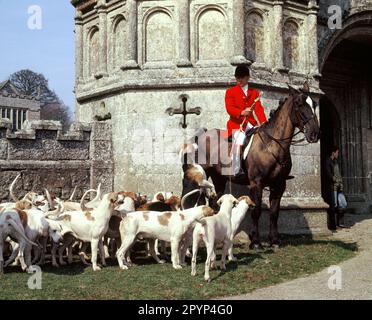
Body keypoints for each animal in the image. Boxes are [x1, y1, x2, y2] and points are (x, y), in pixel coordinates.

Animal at [180, 82, 320, 248]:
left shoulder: (279, 184)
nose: (315, 134)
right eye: (299, 104)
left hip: (219, 178)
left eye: (315, 104)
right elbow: (256, 210)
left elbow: (274, 213)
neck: (272, 144)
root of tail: (202, 134)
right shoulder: (256, 183)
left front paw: (274, 240)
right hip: (201, 175)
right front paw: (256, 242)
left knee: (214, 203)